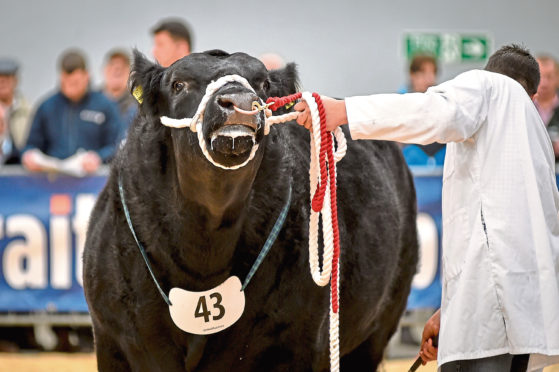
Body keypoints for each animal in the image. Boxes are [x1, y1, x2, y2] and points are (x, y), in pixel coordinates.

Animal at [83, 50, 420, 372]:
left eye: (263, 84)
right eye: (178, 84)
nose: (241, 102)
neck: (204, 247)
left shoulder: (293, 343)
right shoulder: (115, 340)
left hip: (377, 329)